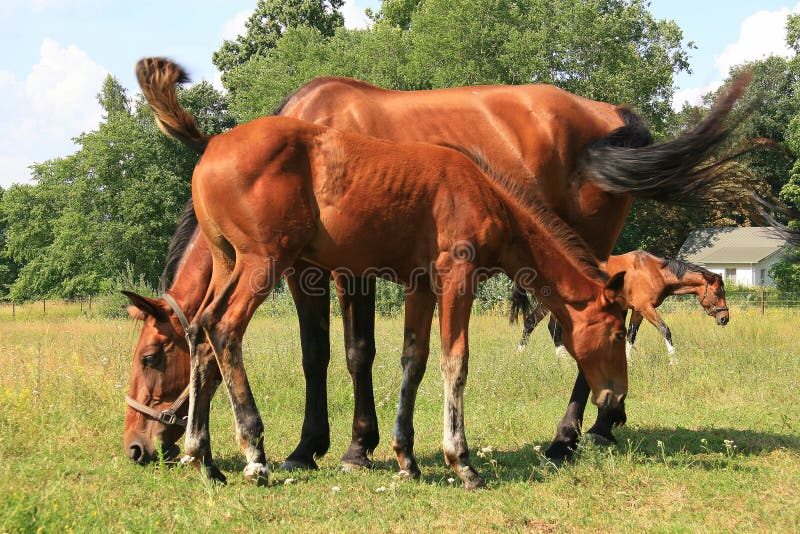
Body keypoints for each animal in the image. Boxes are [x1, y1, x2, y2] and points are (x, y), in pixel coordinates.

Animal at [516, 251, 728, 360]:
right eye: (718, 293)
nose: (725, 318)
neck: (654, 271)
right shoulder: (646, 308)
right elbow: (665, 330)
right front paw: (673, 360)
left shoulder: (637, 310)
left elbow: (631, 335)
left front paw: (628, 361)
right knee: (541, 325)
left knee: (542, 325)